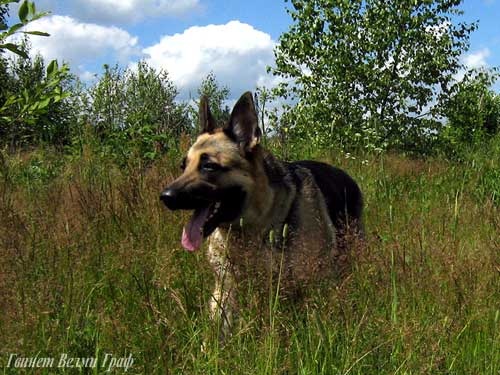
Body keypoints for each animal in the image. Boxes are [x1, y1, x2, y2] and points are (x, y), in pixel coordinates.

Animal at [160, 92, 364, 340]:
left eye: (209, 166)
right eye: (183, 166)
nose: (165, 197)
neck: (256, 227)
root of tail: (348, 177)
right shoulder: (225, 295)